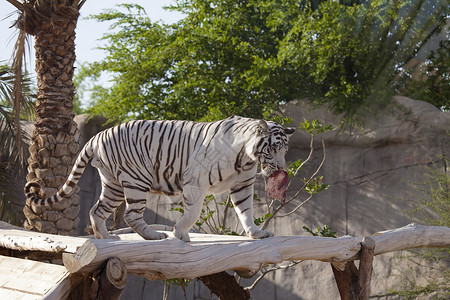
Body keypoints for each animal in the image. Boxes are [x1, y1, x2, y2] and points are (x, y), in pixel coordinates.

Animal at [27, 115, 296, 241]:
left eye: (285, 150)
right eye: (273, 149)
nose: (282, 168)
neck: (246, 157)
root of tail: (98, 135)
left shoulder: (242, 185)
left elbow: (246, 211)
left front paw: (256, 233)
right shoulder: (195, 183)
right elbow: (192, 213)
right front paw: (180, 233)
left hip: (113, 184)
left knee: (97, 210)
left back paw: (106, 237)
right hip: (137, 180)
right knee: (131, 215)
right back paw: (154, 236)